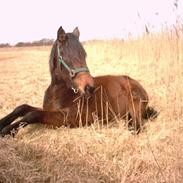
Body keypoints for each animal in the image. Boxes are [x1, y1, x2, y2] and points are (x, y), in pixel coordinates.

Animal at [0, 26, 157, 136]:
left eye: (84, 55)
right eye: (65, 55)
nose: (89, 88)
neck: (60, 91)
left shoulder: (69, 118)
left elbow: (33, 114)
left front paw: (7, 131)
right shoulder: (49, 109)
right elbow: (22, 108)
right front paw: (3, 123)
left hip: (134, 104)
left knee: (136, 126)